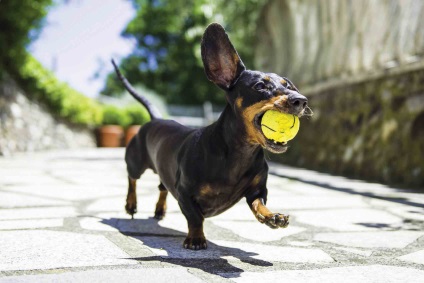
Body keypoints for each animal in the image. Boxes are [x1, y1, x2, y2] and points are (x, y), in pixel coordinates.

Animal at [111, 22, 306, 251]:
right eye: (260, 86)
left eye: (289, 86)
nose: (301, 100)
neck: (239, 154)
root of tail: (156, 118)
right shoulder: (184, 192)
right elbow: (195, 218)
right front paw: (195, 239)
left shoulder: (257, 190)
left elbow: (259, 204)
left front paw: (272, 216)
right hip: (136, 162)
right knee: (132, 178)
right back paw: (131, 204)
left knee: (161, 187)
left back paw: (159, 209)